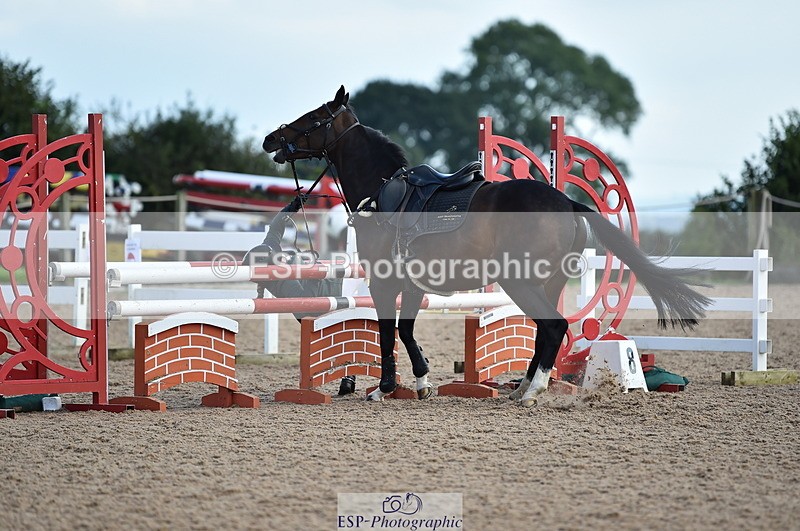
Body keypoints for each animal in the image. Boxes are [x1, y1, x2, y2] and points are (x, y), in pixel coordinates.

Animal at [263, 86, 711, 406]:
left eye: (314, 117)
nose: (271, 139)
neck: (384, 193)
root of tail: (565, 201)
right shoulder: (411, 284)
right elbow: (406, 330)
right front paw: (421, 381)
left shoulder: (383, 281)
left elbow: (389, 332)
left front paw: (384, 387)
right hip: (546, 283)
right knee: (546, 332)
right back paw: (522, 387)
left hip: (521, 282)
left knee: (554, 326)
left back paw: (532, 392)